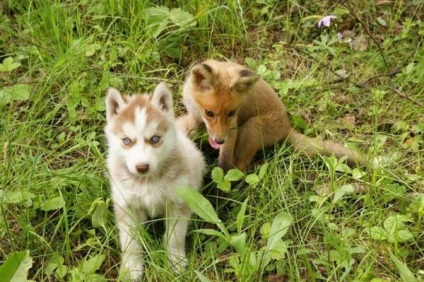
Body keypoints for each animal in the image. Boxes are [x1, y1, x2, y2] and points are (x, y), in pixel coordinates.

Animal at [177, 59, 366, 172]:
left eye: (231, 113)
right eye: (209, 113)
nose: (219, 141)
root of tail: (287, 126)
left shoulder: (232, 127)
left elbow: (224, 162)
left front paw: (220, 180)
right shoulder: (195, 117)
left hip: (252, 128)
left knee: (241, 167)